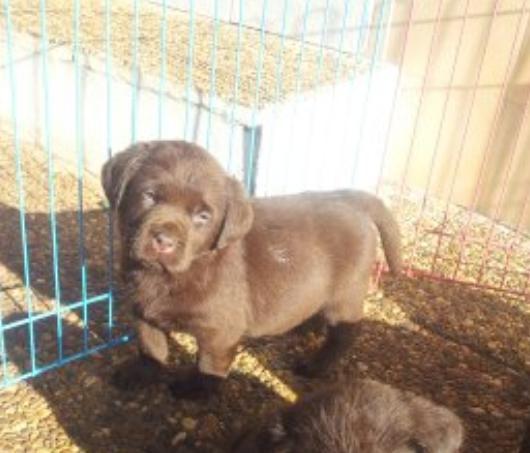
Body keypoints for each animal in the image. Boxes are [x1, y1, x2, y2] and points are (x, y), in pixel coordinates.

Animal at [100, 139, 400, 398]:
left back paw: (315, 366)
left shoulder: (220, 332)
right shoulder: (143, 311)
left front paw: (196, 390)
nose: (164, 241)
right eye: (149, 196)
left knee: (344, 334)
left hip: (345, 293)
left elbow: (209, 364)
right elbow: (150, 346)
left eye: (203, 216)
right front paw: (141, 373)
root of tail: (350, 199)